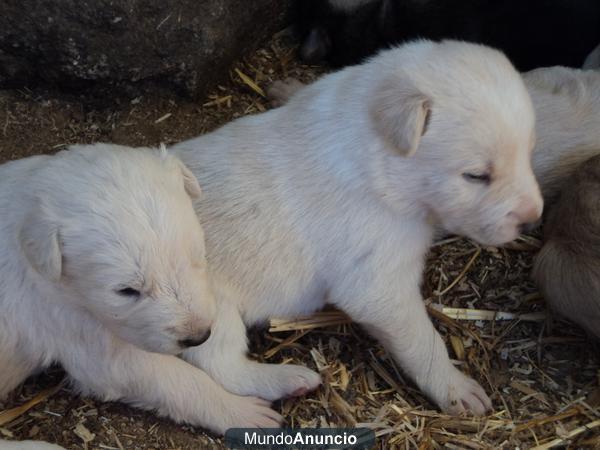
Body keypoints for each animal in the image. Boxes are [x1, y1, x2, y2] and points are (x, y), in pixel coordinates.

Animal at [0, 145, 282, 442]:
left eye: (197, 256)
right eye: (126, 291)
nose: (199, 337)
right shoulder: (82, 337)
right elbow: (180, 380)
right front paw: (246, 413)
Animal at [173, 40, 544, 416]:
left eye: (529, 152)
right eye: (476, 175)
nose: (533, 217)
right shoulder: (378, 284)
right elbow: (423, 341)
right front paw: (456, 388)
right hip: (210, 311)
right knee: (221, 364)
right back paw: (289, 379)